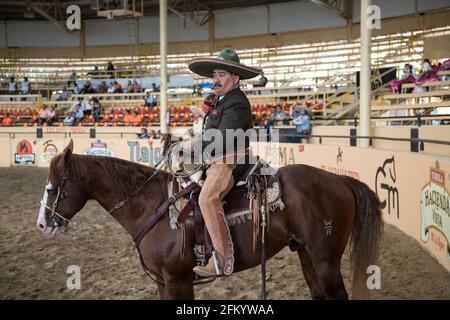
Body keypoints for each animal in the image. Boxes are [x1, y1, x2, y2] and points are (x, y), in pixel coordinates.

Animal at [37, 140, 384, 300]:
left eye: (53, 187)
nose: (42, 224)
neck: (150, 206)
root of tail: (340, 180)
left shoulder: (178, 280)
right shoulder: (163, 281)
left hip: (325, 259)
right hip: (306, 254)